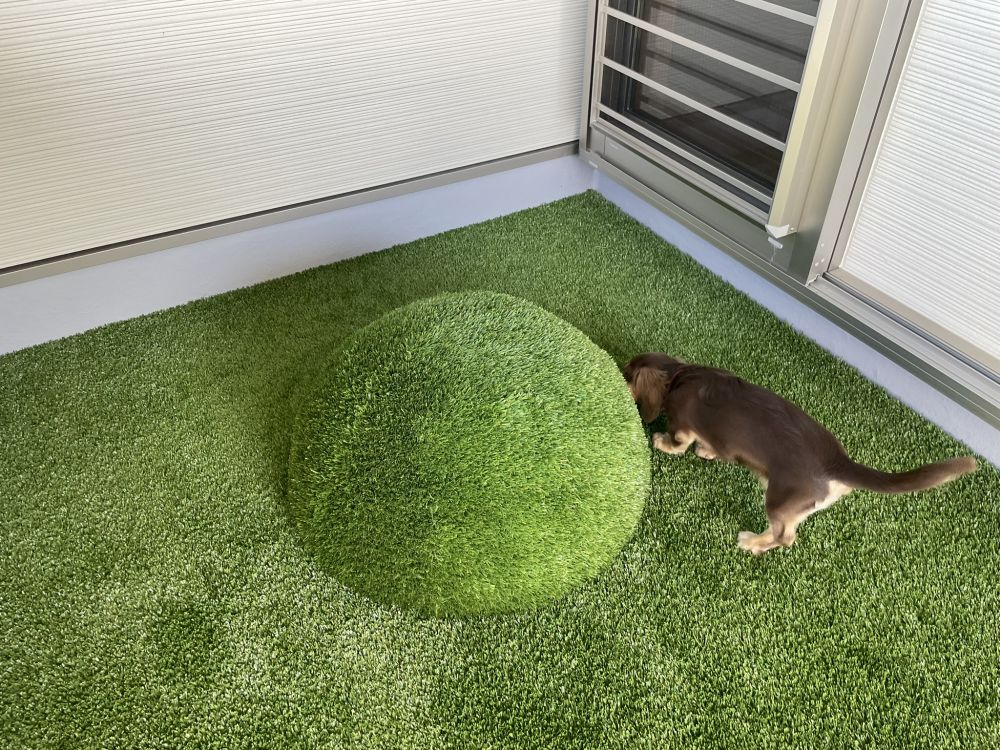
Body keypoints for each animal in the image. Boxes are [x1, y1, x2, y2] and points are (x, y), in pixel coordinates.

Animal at [623, 353, 977, 555]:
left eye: (626, 373)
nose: (618, 368)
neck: (679, 376)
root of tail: (839, 462)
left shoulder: (683, 424)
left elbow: (679, 442)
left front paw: (662, 442)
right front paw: (707, 452)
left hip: (780, 501)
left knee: (785, 536)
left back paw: (752, 543)